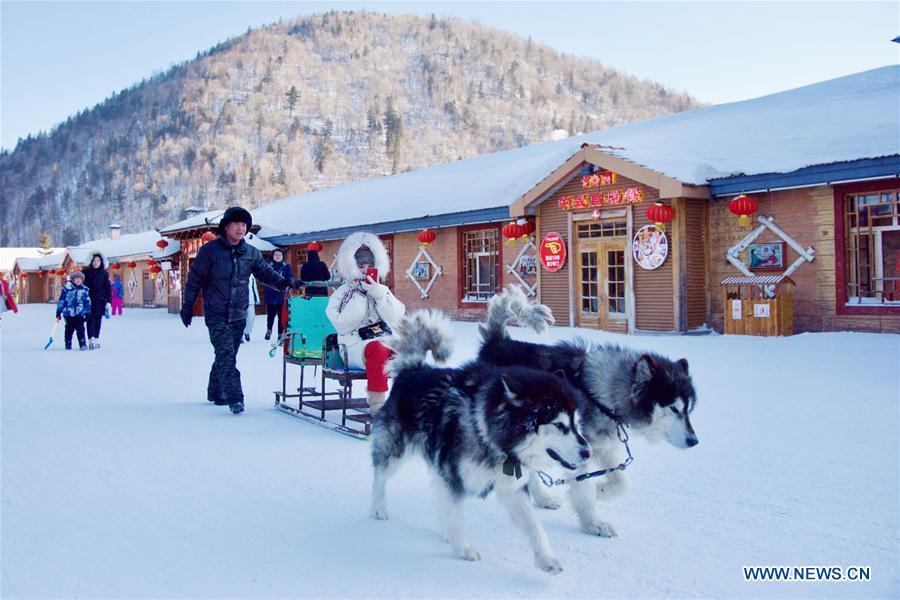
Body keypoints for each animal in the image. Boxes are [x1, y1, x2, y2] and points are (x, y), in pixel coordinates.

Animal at [370, 310, 592, 572]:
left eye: (576, 423)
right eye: (559, 425)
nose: (588, 452)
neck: (488, 434)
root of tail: (413, 369)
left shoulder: (511, 485)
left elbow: (535, 526)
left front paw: (546, 558)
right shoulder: (453, 476)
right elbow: (456, 516)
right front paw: (463, 548)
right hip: (395, 449)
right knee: (380, 475)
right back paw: (378, 507)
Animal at [478, 288, 696, 536]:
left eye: (688, 408)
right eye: (674, 408)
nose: (694, 441)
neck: (598, 393)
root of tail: (498, 342)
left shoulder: (604, 448)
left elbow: (621, 483)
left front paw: (600, 489)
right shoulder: (579, 449)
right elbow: (584, 488)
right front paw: (594, 522)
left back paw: (543, 497)